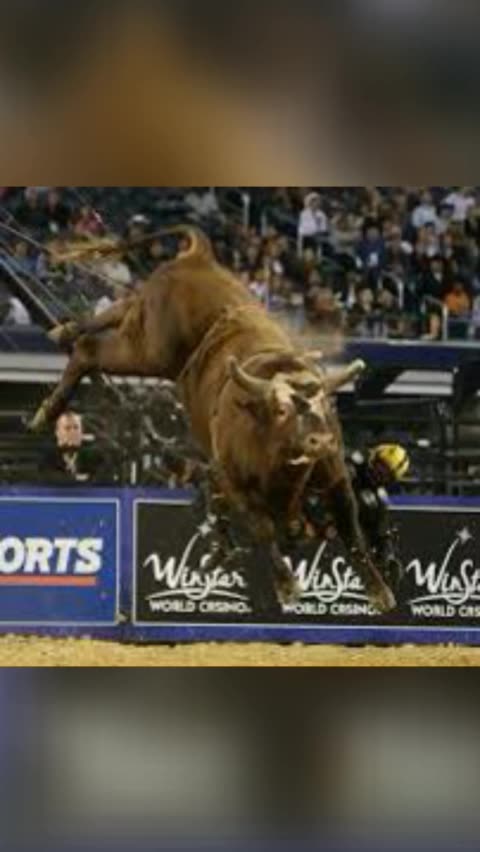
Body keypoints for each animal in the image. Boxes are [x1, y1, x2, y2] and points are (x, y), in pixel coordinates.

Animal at [30, 226, 395, 614]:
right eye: (281, 409)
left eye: (327, 406)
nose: (320, 440)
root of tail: (198, 256)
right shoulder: (232, 481)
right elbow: (262, 528)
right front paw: (286, 586)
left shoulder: (335, 473)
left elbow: (350, 526)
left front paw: (378, 588)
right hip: (148, 349)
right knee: (90, 349)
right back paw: (50, 404)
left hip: (142, 335)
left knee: (118, 311)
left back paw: (65, 332)